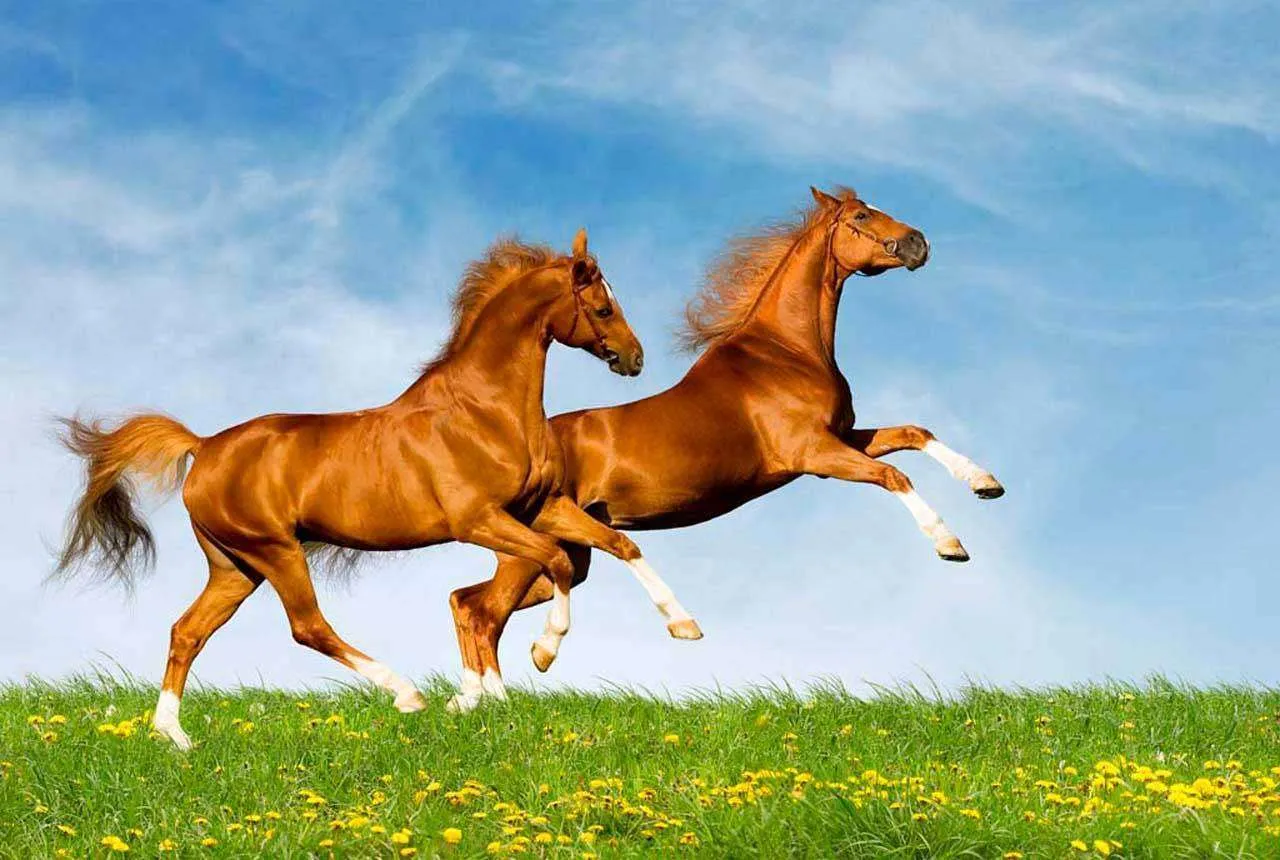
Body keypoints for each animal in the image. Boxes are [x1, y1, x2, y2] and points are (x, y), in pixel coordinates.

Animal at [53, 228, 697, 748]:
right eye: (603, 307)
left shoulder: (541, 507)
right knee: (308, 626)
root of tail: (204, 445)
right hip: (275, 551)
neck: (484, 410)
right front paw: (540, 656)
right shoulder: (479, 520)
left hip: (234, 566)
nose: (635, 359)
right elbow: (554, 564)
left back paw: (173, 736)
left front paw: (683, 625)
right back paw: (406, 692)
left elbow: (620, 544)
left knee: (187, 632)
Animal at [446, 187, 1004, 705]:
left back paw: (473, 698)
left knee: (467, 601)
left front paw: (985, 483)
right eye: (862, 216)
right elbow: (895, 476)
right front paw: (950, 545)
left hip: (566, 553)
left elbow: (915, 434)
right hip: (533, 551)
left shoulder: (845, 438)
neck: (786, 352)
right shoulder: (816, 454)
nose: (918, 243)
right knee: (483, 611)